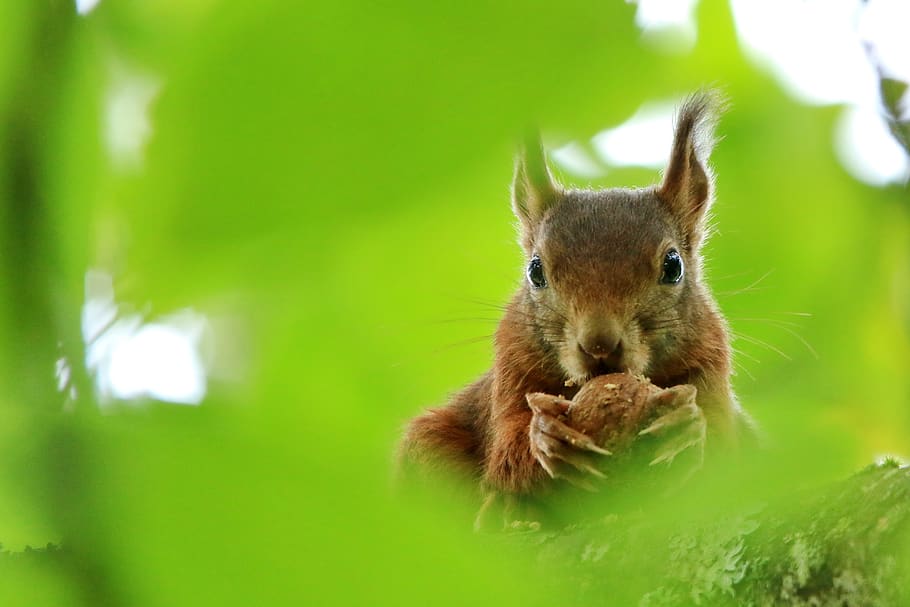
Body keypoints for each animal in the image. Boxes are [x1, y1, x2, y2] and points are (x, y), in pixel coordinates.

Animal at [398, 91, 753, 501]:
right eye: (535, 271)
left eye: (673, 265)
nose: (599, 345)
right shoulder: (511, 367)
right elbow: (506, 457)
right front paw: (547, 436)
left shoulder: (710, 361)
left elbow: (722, 452)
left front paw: (687, 425)